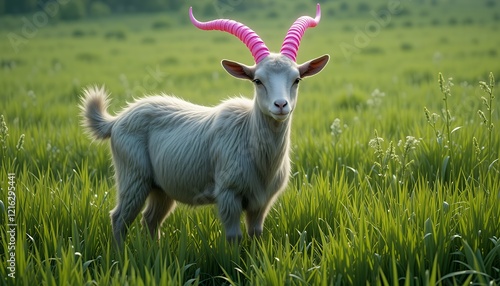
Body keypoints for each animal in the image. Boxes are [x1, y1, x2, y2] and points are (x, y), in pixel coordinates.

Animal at [80, 4, 330, 246]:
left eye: (296, 79)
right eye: (257, 80)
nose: (280, 105)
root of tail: (116, 121)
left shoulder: (261, 203)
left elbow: (255, 234)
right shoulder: (228, 196)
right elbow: (234, 237)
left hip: (161, 188)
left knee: (150, 220)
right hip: (133, 177)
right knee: (119, 218)